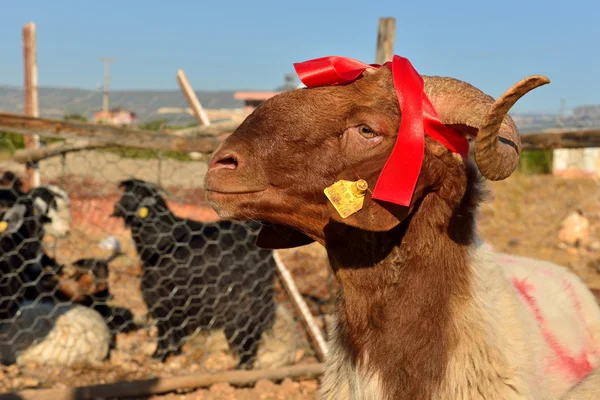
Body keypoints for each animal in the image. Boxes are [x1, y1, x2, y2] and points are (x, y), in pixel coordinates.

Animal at [110, 179, 276, 368]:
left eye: (137, 196)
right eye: (126, 194)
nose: (116, 209)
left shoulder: (162, 298)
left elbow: (166, 331)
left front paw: (159, 356)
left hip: (243, 299)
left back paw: (243, 365)